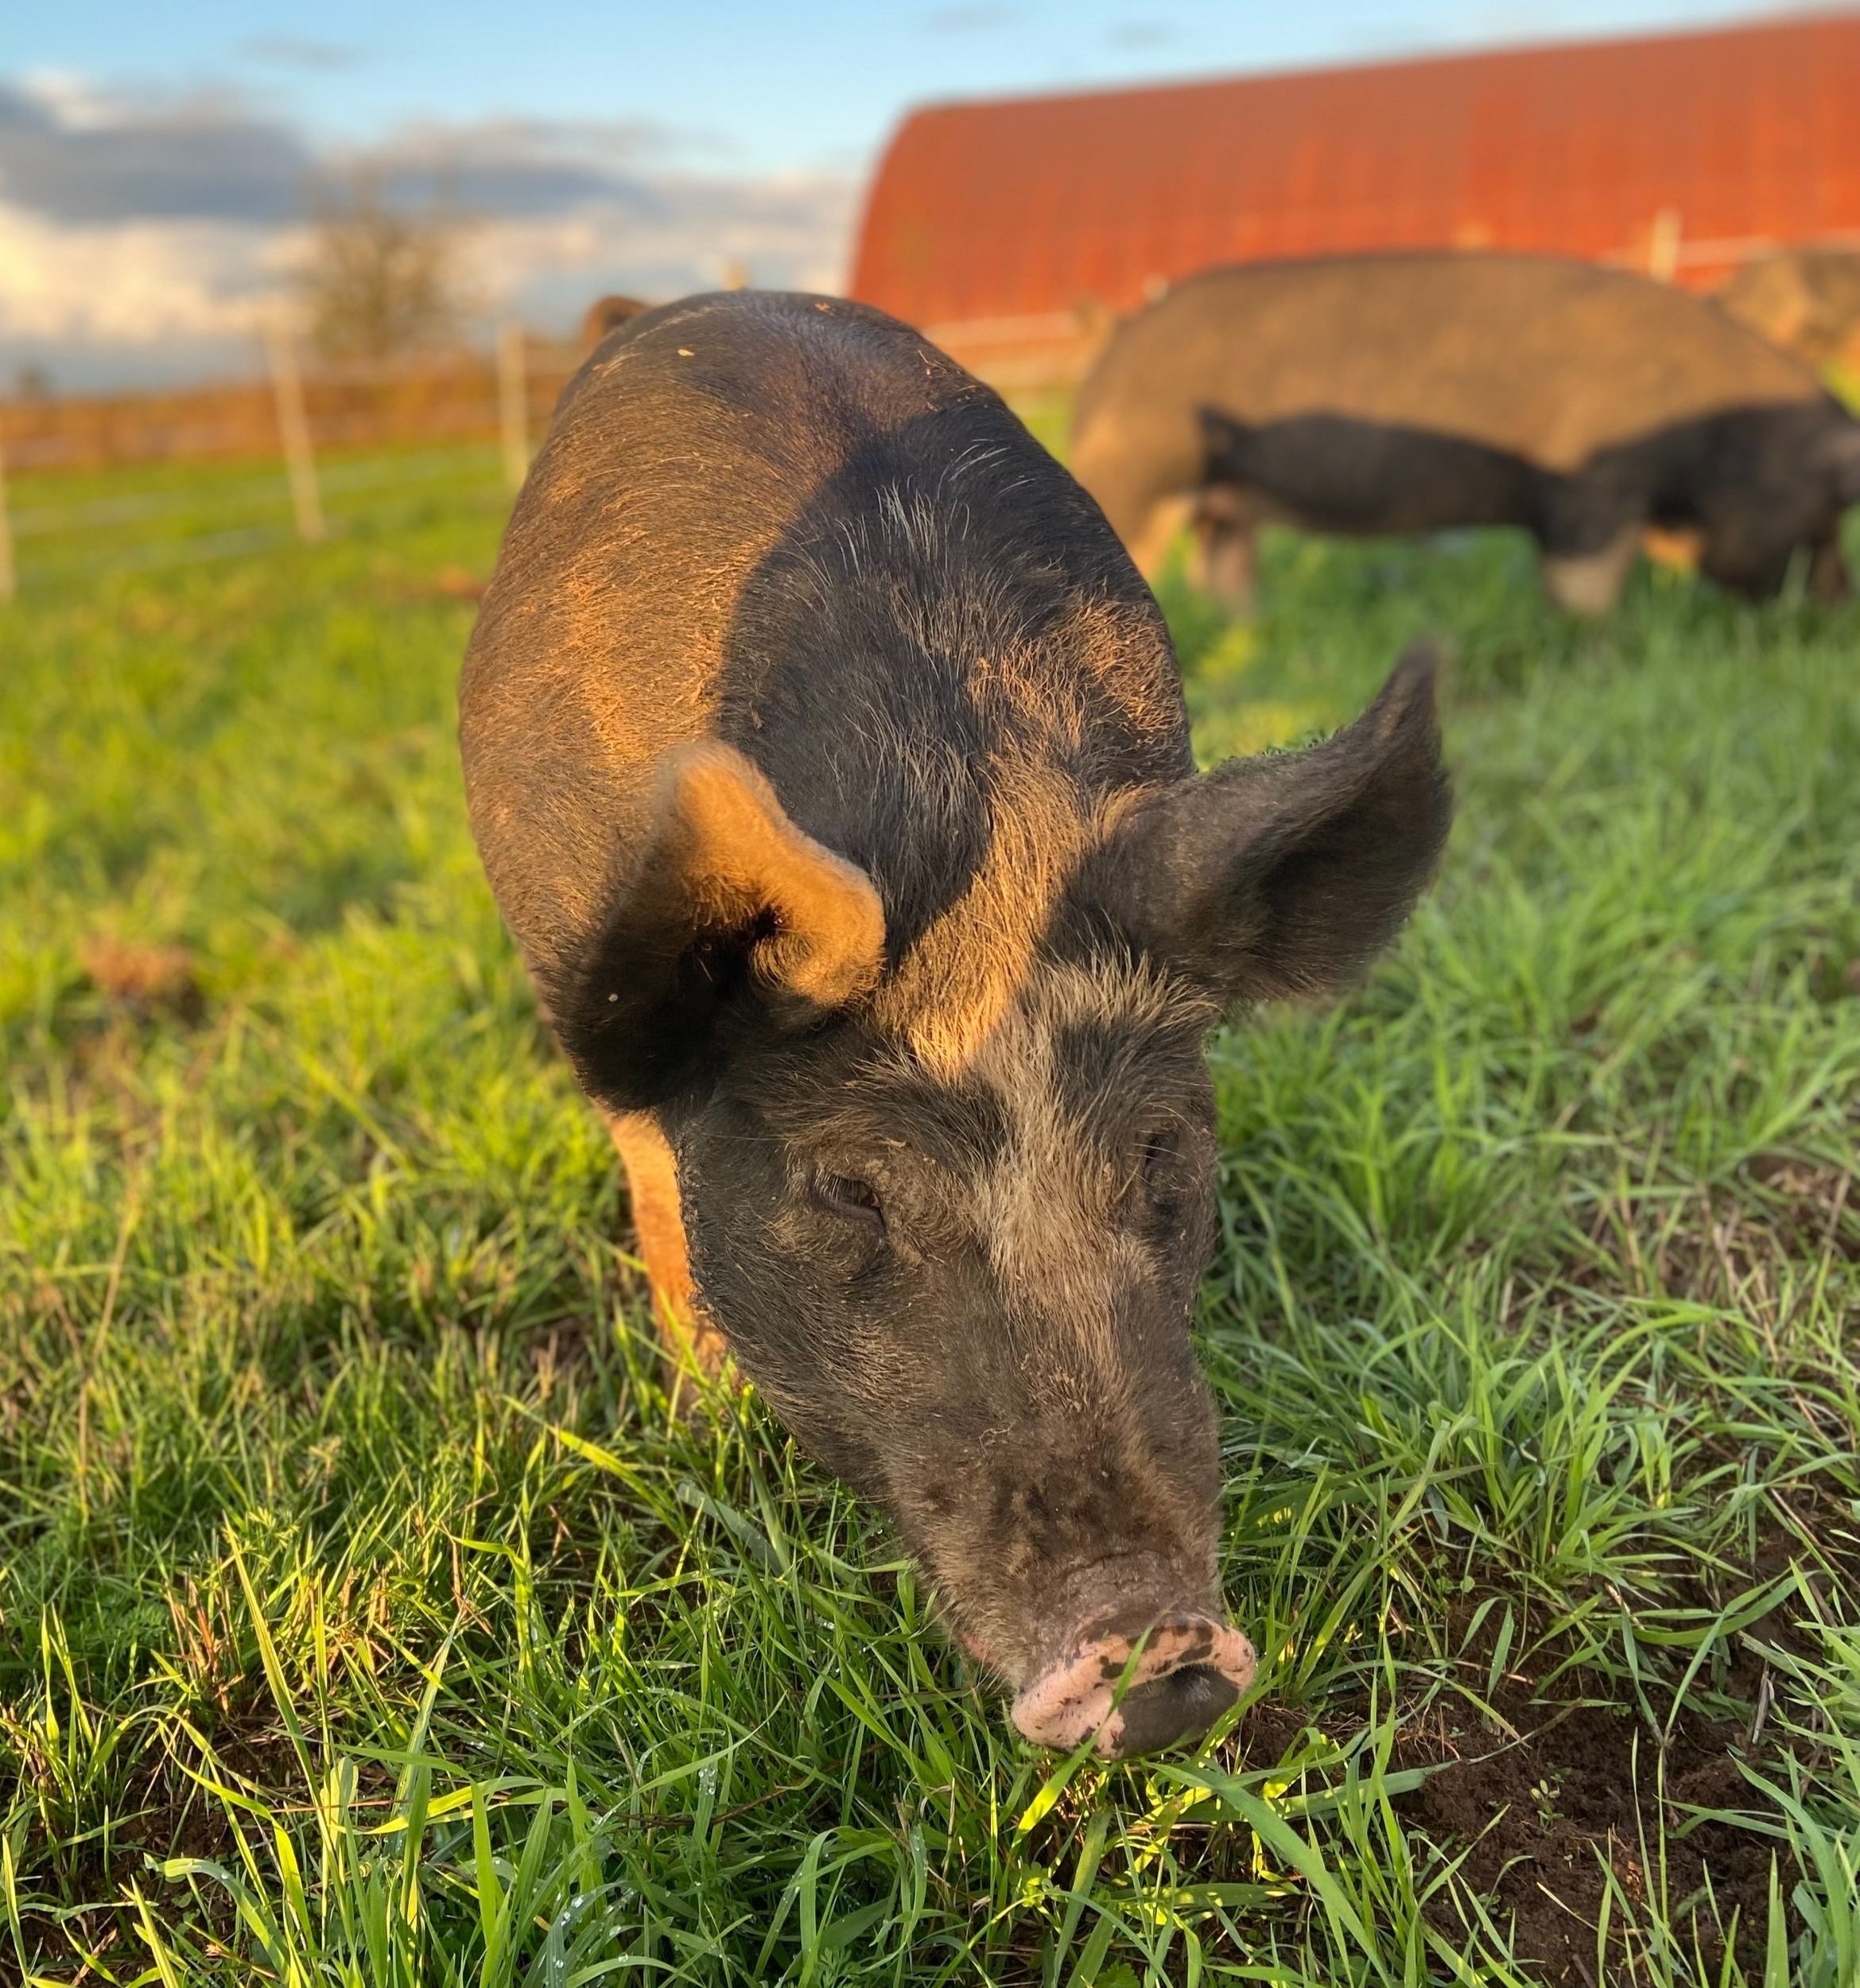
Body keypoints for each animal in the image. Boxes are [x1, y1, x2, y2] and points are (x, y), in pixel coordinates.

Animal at [1070, 251, 1860, 614]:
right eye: (1827, 515)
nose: (1836, 602)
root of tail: (1104, 365)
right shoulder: (1590, 483)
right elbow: (1584, 585)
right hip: (1140, 474)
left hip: (1225, 500)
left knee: (1222, 567)